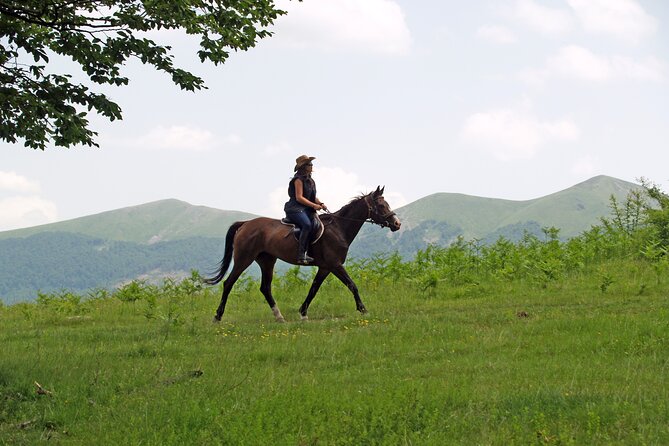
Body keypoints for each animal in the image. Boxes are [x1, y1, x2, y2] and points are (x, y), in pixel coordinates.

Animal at [205, 186, 401, 322]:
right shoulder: (335, 265)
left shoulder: (325, 267)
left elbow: (314, 289)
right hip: (244, 259)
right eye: (381, 205)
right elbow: (352, 285)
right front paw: (363, 310)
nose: (397, 224)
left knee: (265, 288)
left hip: (267, 261)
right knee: (229, 283)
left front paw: (303, 313)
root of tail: (245, 224)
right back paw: (217, 317)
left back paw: (279, 317)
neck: (339, 228)